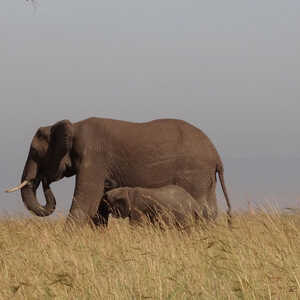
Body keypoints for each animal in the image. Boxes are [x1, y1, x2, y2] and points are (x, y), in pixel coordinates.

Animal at [6, 117, 232, 225]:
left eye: (35, 152)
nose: (44, 179)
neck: (73, 126)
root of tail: (216, 155)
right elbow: (97, 210)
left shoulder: (94, 158)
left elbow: (85, 205)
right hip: (205, 177)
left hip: (194, 174)